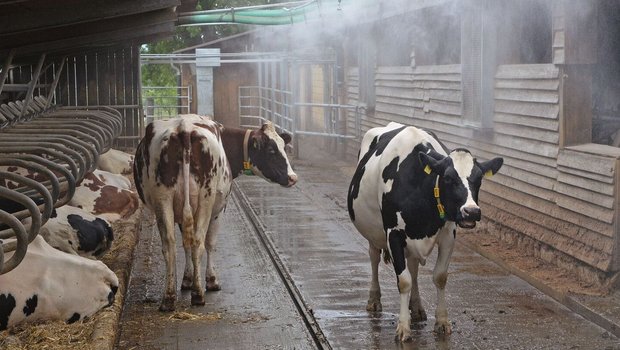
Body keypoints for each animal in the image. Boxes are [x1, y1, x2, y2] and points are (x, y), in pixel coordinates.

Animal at [134, 115, 298, 312]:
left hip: (163, 198)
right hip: (205, 199)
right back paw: (198, 295)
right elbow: (210, 243)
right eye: (272, 150)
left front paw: (187, 279)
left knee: (170, 245)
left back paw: (169, 298)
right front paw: (211, 280)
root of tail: (183, 128)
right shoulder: (219, 209)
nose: (293, 177)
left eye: (283, 147)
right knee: (198, 242)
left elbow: (185, 245)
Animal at [346, 121, 502, 340]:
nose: (471, 212)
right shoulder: (393, 234)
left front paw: (442, 322)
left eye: (479, 179)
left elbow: (439, 277)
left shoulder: (448, 234)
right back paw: (374, 299)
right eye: (448, 178)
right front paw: (403, 327)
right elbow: (403, 281)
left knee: (413, 268)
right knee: (374, 258)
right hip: (374, 233)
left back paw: (417, 307)